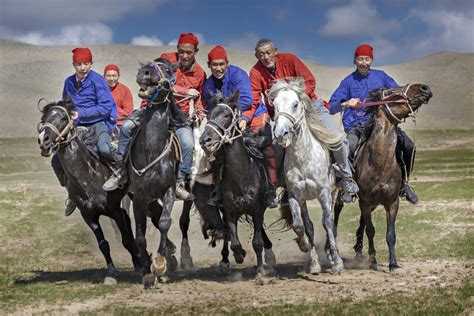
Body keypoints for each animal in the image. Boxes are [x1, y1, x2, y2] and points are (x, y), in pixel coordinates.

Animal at [37, 99, 142, 284]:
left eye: (63, 118)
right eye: (44, 119)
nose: (44, 139)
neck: (89, 175)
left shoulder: (114, 210)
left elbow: (126, 239)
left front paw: (141, 263)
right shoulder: (88, 215)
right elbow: (103, 244)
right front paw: (111, 273)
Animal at [128, 58, 189, 286]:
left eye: (169, 70)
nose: (144, 73)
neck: (151, 150)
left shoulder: (169, 190)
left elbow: (164, 223)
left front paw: (160, 263)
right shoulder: (139, 197)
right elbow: (140, 236)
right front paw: (147, 271)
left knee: (181, 221)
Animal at [198, 92, 276, 278]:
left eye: (227, 115)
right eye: (209, 115)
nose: (205, 140)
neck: (242, 176)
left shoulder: (257, 209)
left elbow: (257, 242)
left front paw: (260, 272)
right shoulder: (229, 211)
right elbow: (233, 241)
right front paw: (239, 255)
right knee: (227, 234)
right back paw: (226, 259)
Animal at [270, 78, 344, 274]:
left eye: (295, 104)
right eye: (274, 105)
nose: (280, 133)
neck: (303, 157)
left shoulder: (323, 193)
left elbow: (327, 222)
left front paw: (337, 262)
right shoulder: (296, 196)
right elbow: (301, 225)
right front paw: (309, 254)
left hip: (333, 192)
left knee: (330, 219)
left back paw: (331, 253)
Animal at [334, 82, 434, 272]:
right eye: (392, 91)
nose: (424, 88)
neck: (380, 163)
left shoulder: (392, 202)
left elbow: (390, 234)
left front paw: (393, 264)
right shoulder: (365, 201)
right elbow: (371, 230)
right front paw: (373, 260)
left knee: (361, 221)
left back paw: (359, 251)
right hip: (343, 195)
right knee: (336, 211)